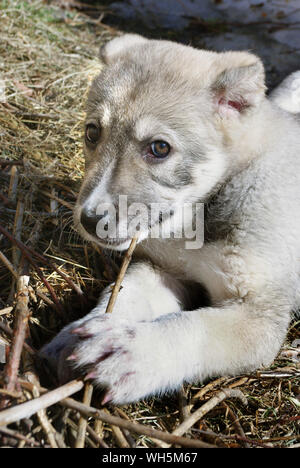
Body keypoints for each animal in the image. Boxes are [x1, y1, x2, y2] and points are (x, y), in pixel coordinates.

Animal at [41, 34, 300, 404]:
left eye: (159, 148)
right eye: (92, 132)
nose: (89, 220)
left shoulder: (257, 313)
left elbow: (192, 328)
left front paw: (132, 354)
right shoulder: (163, 269)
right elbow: (123, 294)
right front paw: (77, 335)